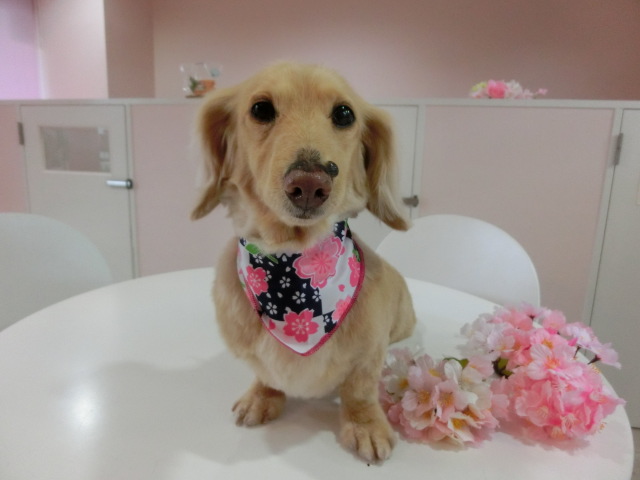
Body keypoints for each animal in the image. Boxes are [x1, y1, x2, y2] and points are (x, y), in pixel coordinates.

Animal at [191, 62, 416, 462]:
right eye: (261, 109)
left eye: (344, 113)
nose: (310, 183)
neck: (291, 265)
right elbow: (265, 375)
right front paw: (262, 397)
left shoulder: (368, 357)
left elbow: (359, 390)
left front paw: (365, 425)